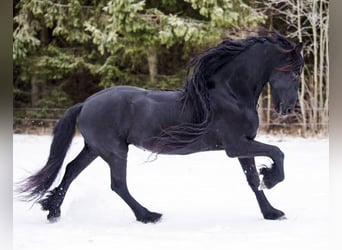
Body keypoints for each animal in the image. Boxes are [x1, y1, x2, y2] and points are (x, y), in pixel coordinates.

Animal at [20, 30, 304, 223]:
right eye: (294, 72)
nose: (289, 109)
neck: (230, 93)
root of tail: (86, 103)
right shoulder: (235, 146)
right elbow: (277, 153)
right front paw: (272, 178)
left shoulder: (243, 146)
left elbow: (253, 181)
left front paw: (271, 211)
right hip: (114, 151)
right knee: (117, 184)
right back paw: (148, 215)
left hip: (94, 149)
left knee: (70, 171)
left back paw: (53, 211)